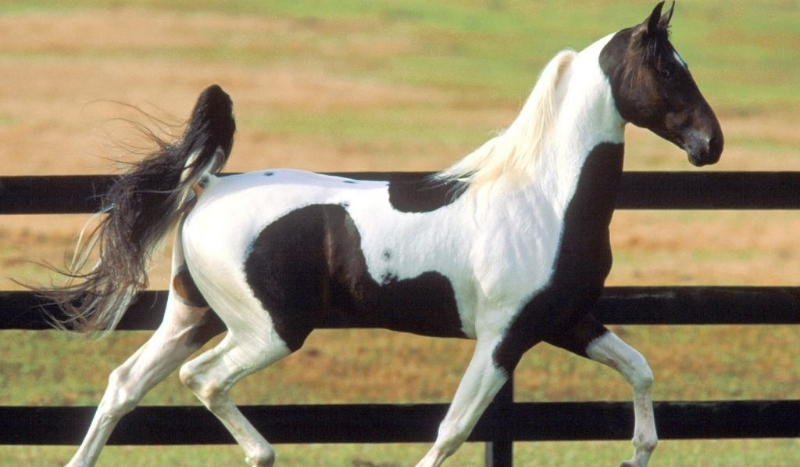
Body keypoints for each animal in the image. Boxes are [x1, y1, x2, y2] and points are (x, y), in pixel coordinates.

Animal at [41, 3, 722, 467]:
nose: (710, 145)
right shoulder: (504, 337)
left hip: (194, 316)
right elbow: (452, 430)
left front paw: (637, 452)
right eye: (667, 70)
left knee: (125, 384)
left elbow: (640, 371)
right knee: (202, 381)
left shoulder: (567, 321)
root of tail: (207, 187)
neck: (545, 200)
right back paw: (262, 452)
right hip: (269, 330)